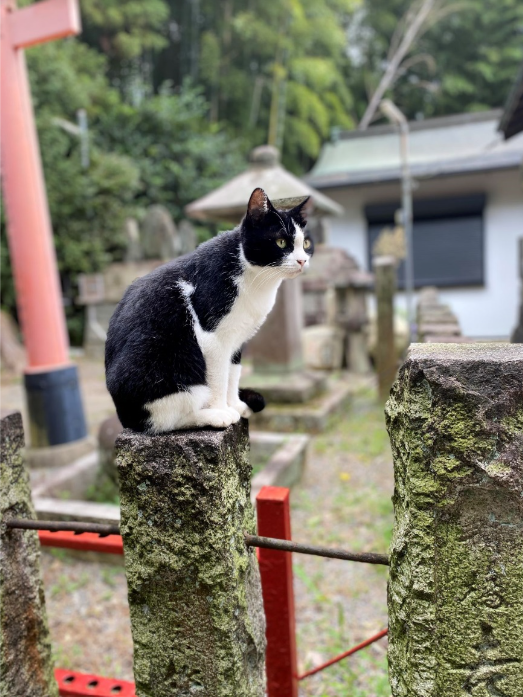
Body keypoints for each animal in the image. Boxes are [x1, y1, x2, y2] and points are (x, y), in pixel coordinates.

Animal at [104, 188, 314, 432]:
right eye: (281, 242)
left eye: (305, 243)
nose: (302, 260)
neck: (254, 278)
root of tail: (123, 415)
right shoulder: (212, 337)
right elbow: (218, 380)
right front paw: (223, 410)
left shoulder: (237, 339)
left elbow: (233, 373)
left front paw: (236, 406)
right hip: (168, 368)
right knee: (166, 420)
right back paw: (212, 416)